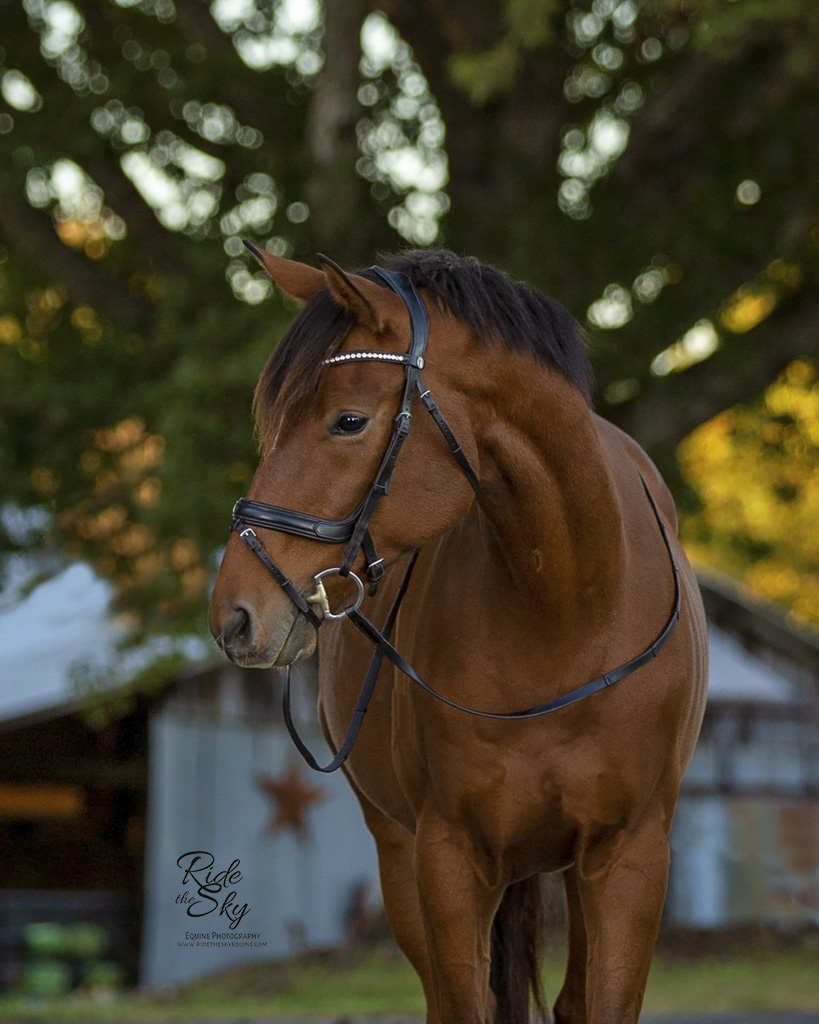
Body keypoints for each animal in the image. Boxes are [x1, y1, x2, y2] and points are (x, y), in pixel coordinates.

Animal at [209, 249, 708, 1024]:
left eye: (347, 421)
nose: (235, 615)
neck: (565, 616)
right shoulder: (447, 857)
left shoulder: (630, 858)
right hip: (400, 851)